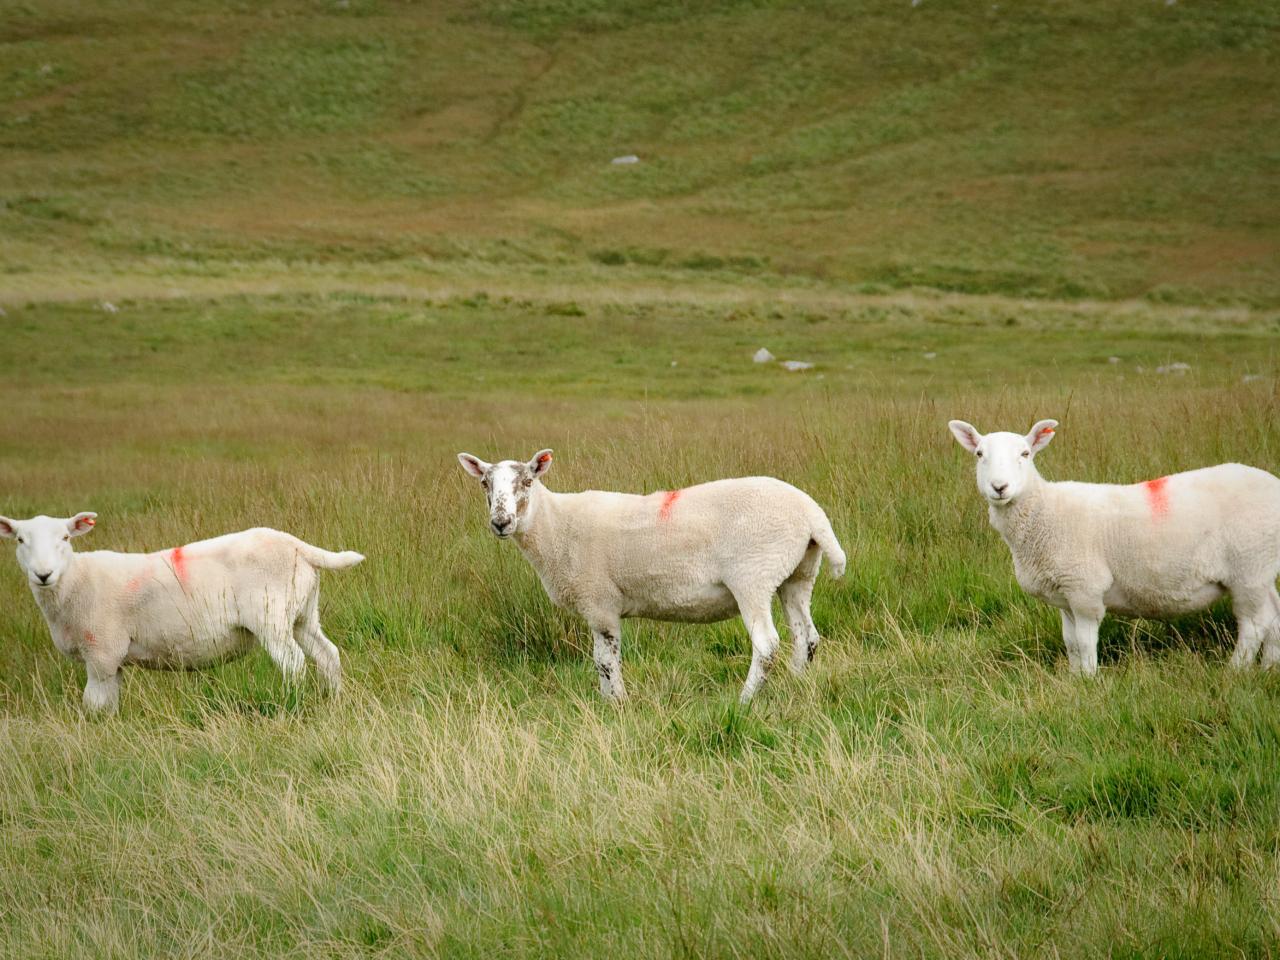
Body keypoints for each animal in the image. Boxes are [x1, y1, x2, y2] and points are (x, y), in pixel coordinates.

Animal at [0, 514, 363, 716]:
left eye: (65, 537)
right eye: (20, 540)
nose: (43, 574)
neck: (75, 580)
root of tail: (296, 545)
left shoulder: (102, 652)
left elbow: (94, 703)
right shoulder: (111, 660)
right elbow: (109, 703)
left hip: (271, 617)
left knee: (294, 663)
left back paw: (295, 704)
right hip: (303, 613)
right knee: (328, 655)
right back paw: (335, 701)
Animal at [455, 450, 844, 706]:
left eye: (527, 481)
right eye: (485, 483)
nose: (500, 522)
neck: (555, 526)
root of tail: (812, 513)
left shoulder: (599, 602)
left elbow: (605, 660)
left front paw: (617, 704)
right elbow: (603, 659)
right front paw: (609, 702)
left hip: (754, 576)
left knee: (767, 644)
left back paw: (744, 700)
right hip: (798, 573)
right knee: (806, 637)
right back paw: (796, 685)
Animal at [947, 419, 1280, 675]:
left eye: (1025, 453)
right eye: (979, 454)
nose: (999, 487)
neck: (1045, 512)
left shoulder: (1085, 588)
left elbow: (1084, 642)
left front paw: (1089, 681)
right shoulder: (1065, 595)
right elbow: (1070, 642)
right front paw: (1074, 678)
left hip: (1248, 567)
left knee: (1254, 625)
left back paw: (1235, 671)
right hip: (1262, 567)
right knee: (1274, 615)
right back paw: (1269, 668)